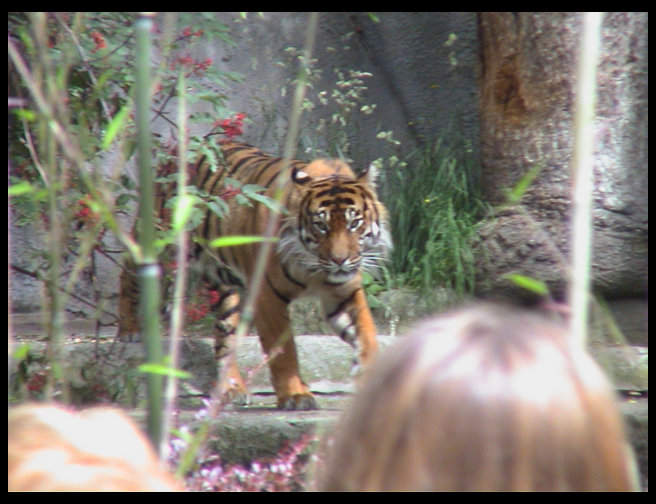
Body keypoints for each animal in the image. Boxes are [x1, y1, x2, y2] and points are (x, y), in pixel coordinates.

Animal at [117, 140, 391, 410]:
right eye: (321, 226)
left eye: (354, 223)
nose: (339, 260)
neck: (314, 267)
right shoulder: (268, 296)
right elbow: (284, 350)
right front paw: (295, 395)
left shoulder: (345, 293)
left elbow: (366, 334)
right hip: (158, 240)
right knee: (129, 269)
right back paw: (128, 329)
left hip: (223, 280)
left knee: (225, 337)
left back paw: (232, 389)